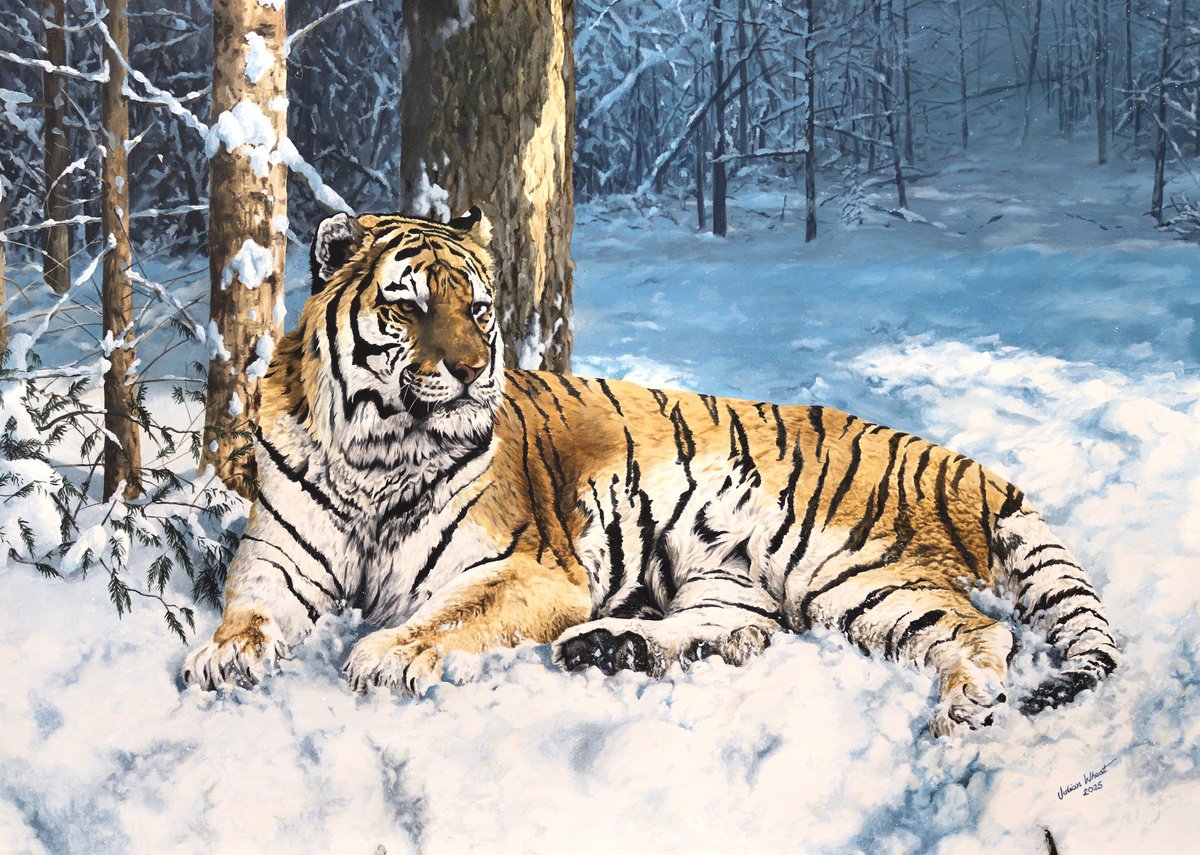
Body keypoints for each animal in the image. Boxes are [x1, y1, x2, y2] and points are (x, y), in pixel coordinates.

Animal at [182, 207, 1120, 737]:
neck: (377, 449)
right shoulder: (279, 554)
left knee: (983, 633)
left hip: (845, 568)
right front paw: (221, 658)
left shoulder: (525, 568)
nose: (478, 370)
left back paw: (960, 712)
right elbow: (249, 608)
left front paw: (384, 654)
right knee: (746, 629)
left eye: (479, 308)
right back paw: (613, 645)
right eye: (408, 305)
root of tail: (951, 457)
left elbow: (445, 616)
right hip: (723, 571)